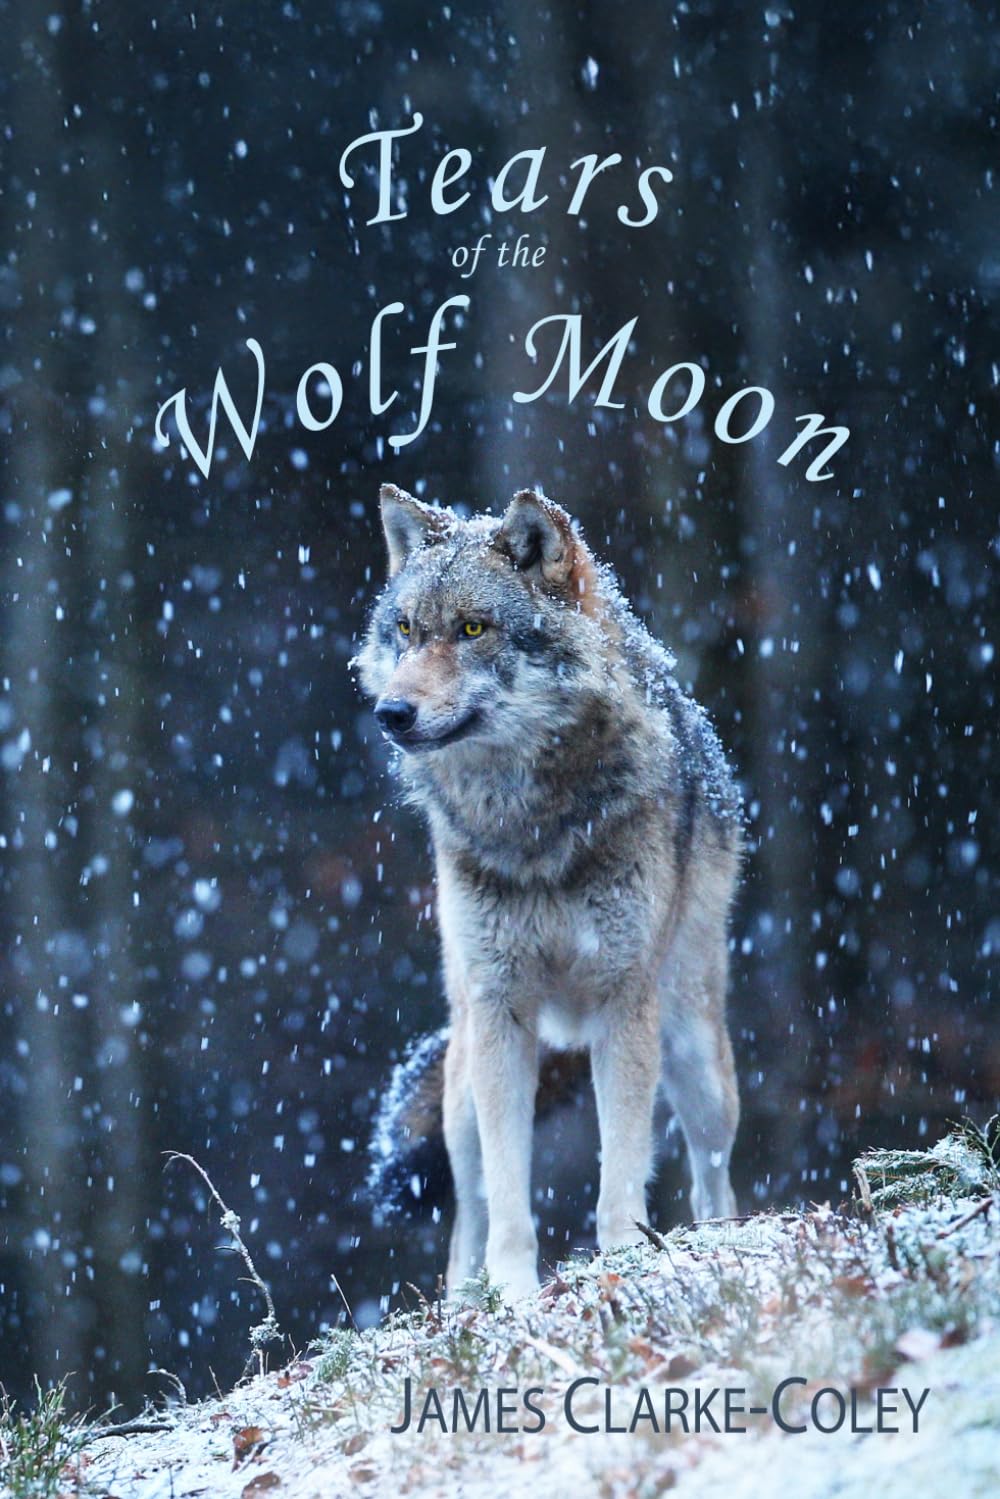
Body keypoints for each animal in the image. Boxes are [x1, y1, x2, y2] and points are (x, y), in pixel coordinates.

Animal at [355, 483, 742, 1299]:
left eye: (473, 628)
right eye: (405, 630)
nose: (391, 713)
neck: (530, 824)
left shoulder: (623, 1003)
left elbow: (620, 1169)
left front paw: (624, 1259)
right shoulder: (502, 1013)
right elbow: (508, 1192)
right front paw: (513, 1292)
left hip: (694, 1053)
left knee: (711, 1170)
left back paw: (722, 1240)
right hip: (462, 1084)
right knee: (466, 1212)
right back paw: (463, 1299)